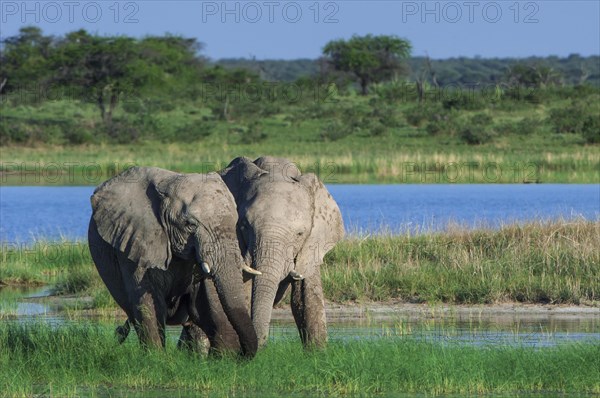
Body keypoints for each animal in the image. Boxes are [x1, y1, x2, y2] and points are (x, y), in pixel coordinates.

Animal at [86, 165, 258, 358]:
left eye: (236, 222)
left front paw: (224, 358)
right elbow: (148, 304)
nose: (243, 353)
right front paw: (156, 358)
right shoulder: (135, 240)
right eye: (190, 224)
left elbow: (208, 303)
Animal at [206, 155, 344, 348]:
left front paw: (318, 352)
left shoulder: (311, 245)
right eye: (244, 226)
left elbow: (307, 299)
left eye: (300, 234)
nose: (261, 345)